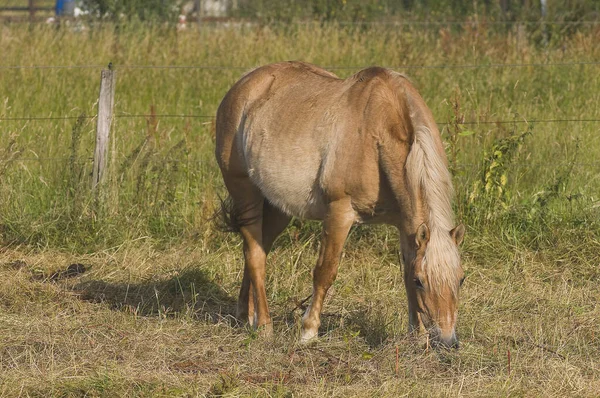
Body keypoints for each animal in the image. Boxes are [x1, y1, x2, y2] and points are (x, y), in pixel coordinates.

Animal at [213, 61, 466, 348]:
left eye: (461, 279)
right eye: (421, 281)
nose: (447, 340)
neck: (375, 132)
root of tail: (244, 84)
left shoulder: (406, 226)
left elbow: (405, 272)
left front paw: (418, 335)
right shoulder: (339, 214)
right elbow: (325, 271)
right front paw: (308, 331)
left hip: (278, 208)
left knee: (257, 250)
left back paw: (246, 315)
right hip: (246, 196)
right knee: (255, 256)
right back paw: (265, 327)